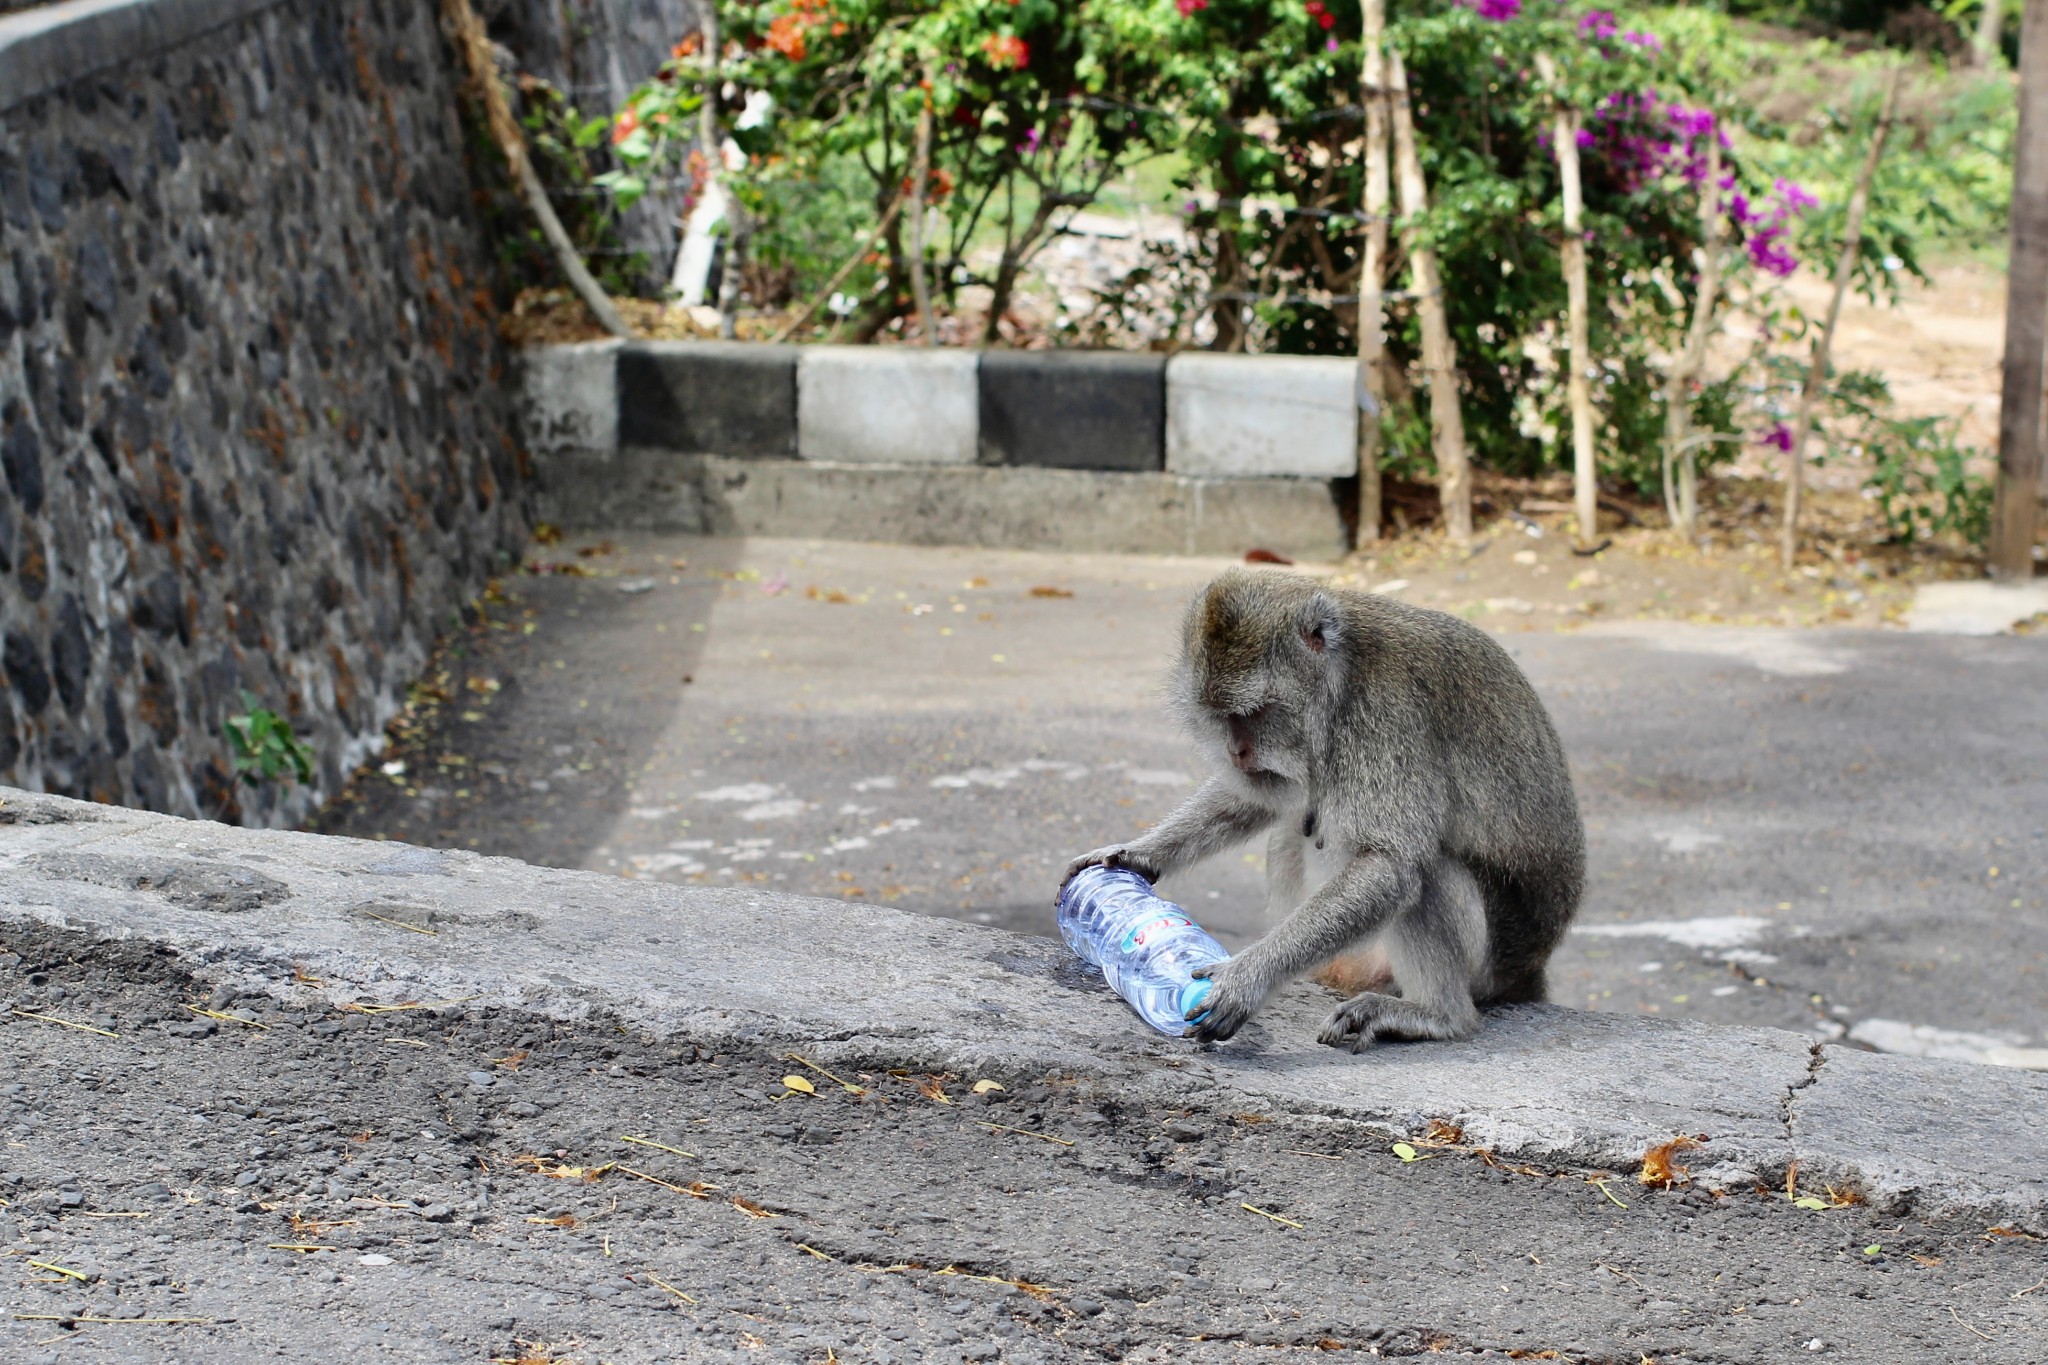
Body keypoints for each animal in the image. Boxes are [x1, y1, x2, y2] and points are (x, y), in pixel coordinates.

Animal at [1064, 564, 1589, 1047]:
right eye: (1220, 717)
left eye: (1256, 713)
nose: (1237, 752)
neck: (1344, 674)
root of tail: (1529, 971)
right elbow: (1259, 797)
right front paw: (1136, 854)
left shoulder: (1385, 716)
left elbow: (1389, 865)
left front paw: (1248, 979)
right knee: (1291, 831)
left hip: (1487, 965)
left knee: (1425, 872)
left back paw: (1438, 1015)